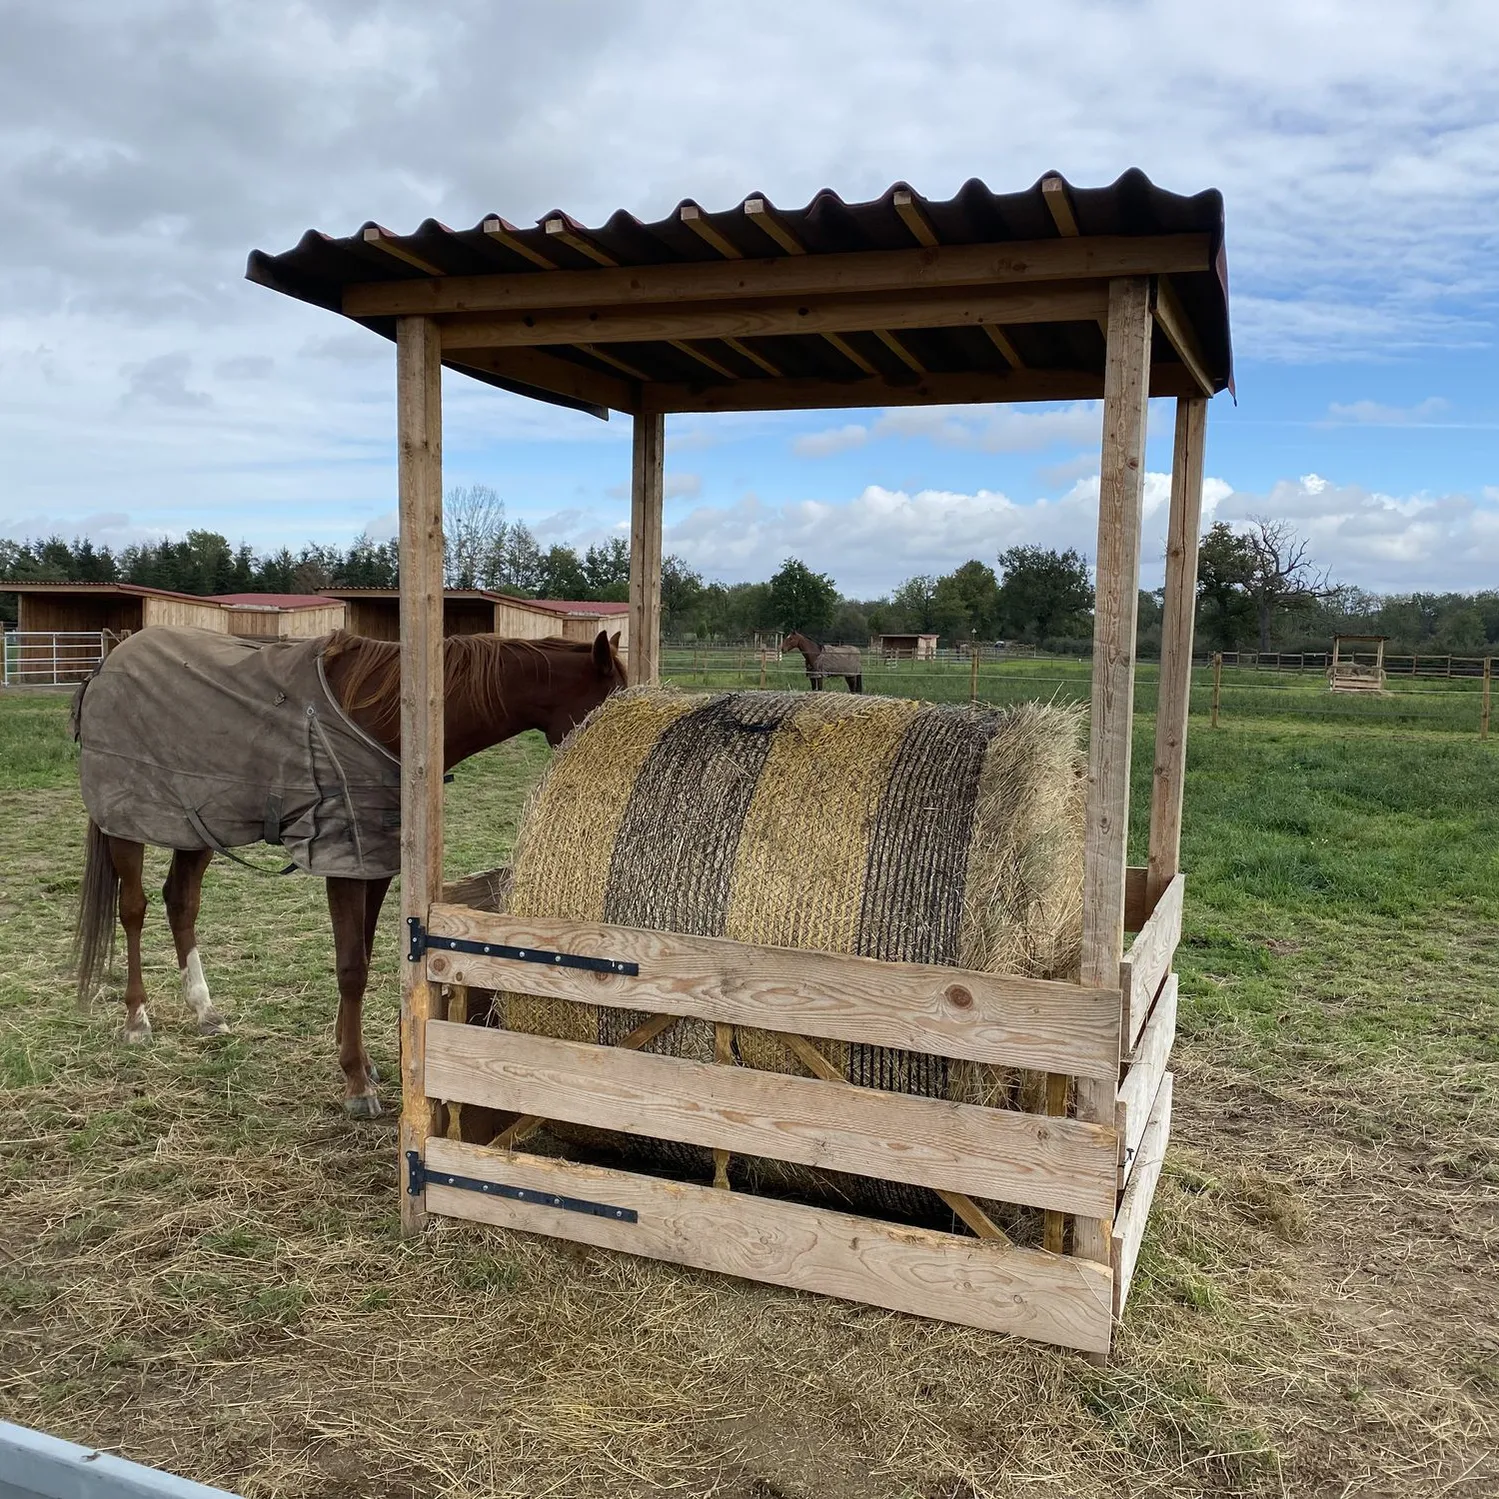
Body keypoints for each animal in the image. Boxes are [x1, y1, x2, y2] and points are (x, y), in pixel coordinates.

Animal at [68, 626, 620, 1121]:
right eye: (613, 698)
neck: (389, 720)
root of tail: (108, 660)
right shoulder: (344, 864)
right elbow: (352, 967)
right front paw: (356, 1080)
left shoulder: (371, 864)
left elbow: (365, 955)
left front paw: (359, 1058)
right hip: (128, 824)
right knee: (133, 909)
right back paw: (137, 1018)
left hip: (197, 825)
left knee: (181, 900)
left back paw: (205, 1011)